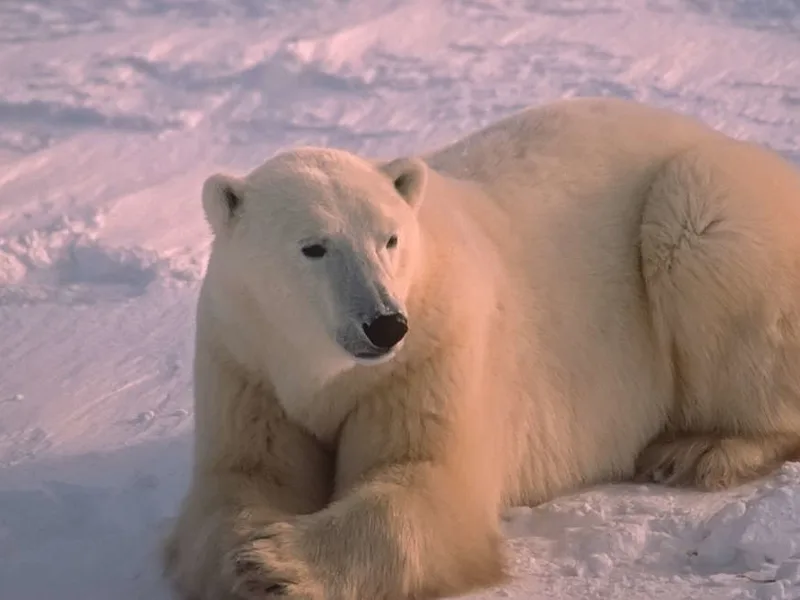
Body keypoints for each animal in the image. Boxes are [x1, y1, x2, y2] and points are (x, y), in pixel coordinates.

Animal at [163, 96, 800, 600]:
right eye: (313, 247)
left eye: (390, 238)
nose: (385, 325)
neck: (323, 367)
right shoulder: (245, 356)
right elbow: (245, 475)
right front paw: (243, 554)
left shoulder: (435, 347)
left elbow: (427, 480)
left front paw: (277, 562)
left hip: (710, 202)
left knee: (700, 233)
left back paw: (701, 449)